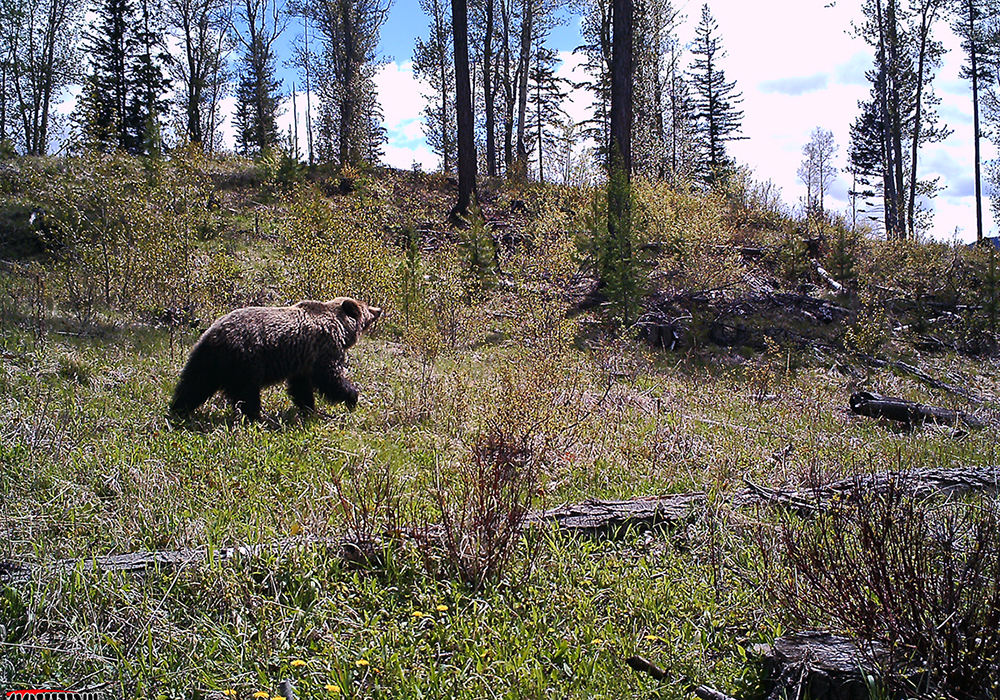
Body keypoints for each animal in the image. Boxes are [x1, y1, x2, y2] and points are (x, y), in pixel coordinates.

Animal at [170, 297, 381, 422]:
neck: (342, 329)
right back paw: (257, 417)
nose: (379, 309)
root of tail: (213, 336)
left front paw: (309, 408)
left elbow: (301, 387)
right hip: (246, 360)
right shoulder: (324, 347)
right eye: (367, 307)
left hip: (205, 361)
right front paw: (352, 396)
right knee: (247, 392)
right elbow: (330, 377)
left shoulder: (303, 361)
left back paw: (178, 409)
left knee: (193, 385)